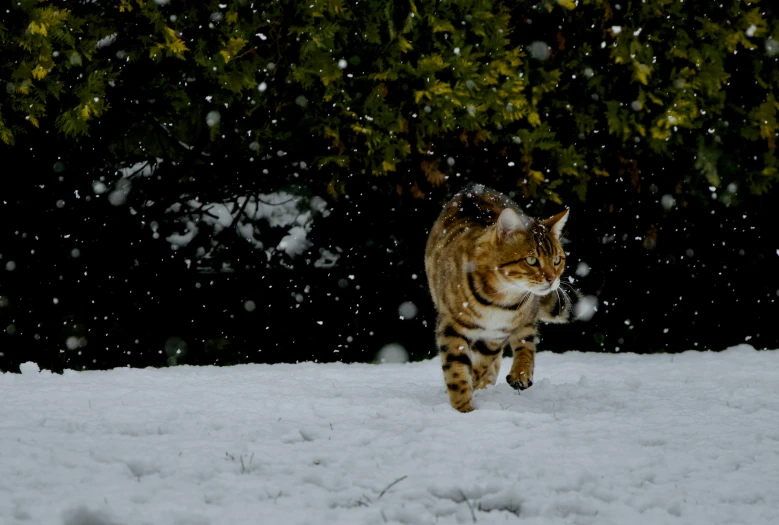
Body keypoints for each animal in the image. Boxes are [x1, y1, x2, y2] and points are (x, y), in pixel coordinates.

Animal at [424, 182, 576, 412]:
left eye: (557, 260)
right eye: (531, 260)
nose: (552, 279)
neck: (500, 299)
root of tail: (474, 186)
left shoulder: (496, 334)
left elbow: (482, 364)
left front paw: (474, 390)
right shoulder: (451, 325)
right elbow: (456, 369)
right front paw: (463, 409)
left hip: (526, 317)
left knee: (525, 342)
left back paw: (519, 374)